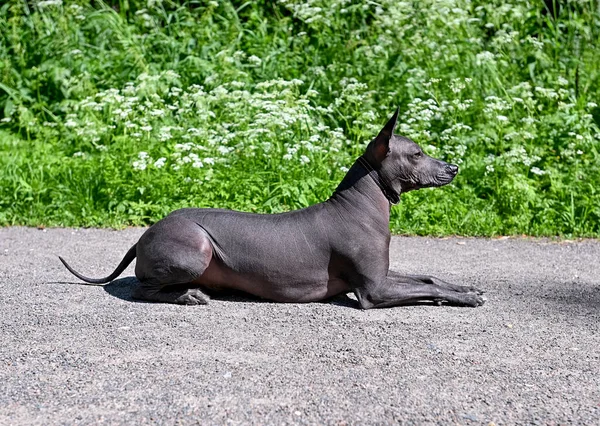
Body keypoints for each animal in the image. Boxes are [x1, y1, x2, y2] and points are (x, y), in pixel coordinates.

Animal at [61, 109, 486, 310]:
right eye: (416, 154)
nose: (454, 167)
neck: (361, 203)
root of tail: (144, 234)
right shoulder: (373, 290)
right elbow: (422, 289)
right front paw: (467, 299)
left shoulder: (382, 274)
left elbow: (429, 279)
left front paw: (465, 288)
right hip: (197, 248)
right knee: (142, 289)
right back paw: (189, 296)